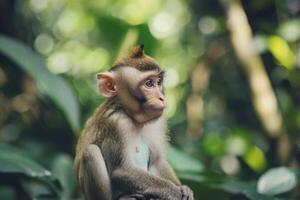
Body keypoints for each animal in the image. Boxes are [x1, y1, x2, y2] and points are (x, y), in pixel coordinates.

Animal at [74, 45, 193, 200]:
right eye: (149, 84)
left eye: (158, 82)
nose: (161, 98)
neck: (133, 118)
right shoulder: (116, 123)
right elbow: (121, 170)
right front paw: (175, 192)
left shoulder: (157, 124)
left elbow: (157, 161)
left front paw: (185, 189)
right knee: (91, 152)